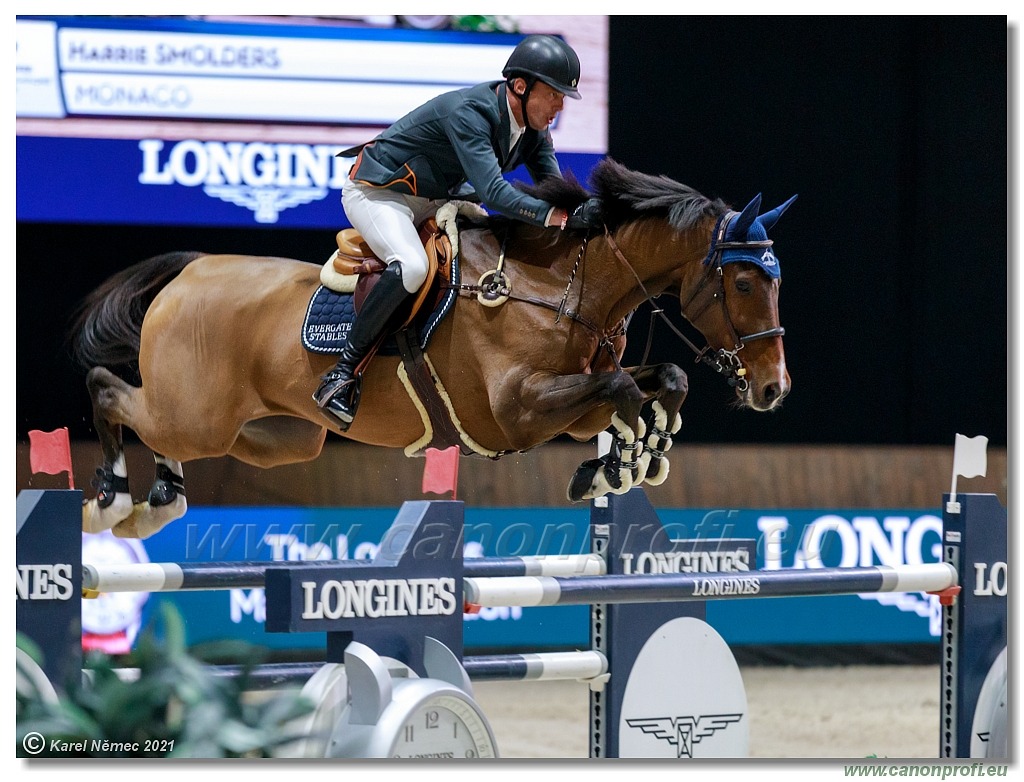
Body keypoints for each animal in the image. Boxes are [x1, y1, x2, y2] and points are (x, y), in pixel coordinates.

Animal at [72, 158, 794, 536]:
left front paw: (630, 458)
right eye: (744, 281)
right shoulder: (516, 411)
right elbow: (621, 388)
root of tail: (192, 269)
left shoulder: (566, 406)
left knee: (163, 429)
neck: (561, 284)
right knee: (111, 392)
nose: (773, 388)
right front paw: (626, 460)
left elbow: (661, 378)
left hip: (274, 434)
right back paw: (111, 498)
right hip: (199, 414)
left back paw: (159, 497)